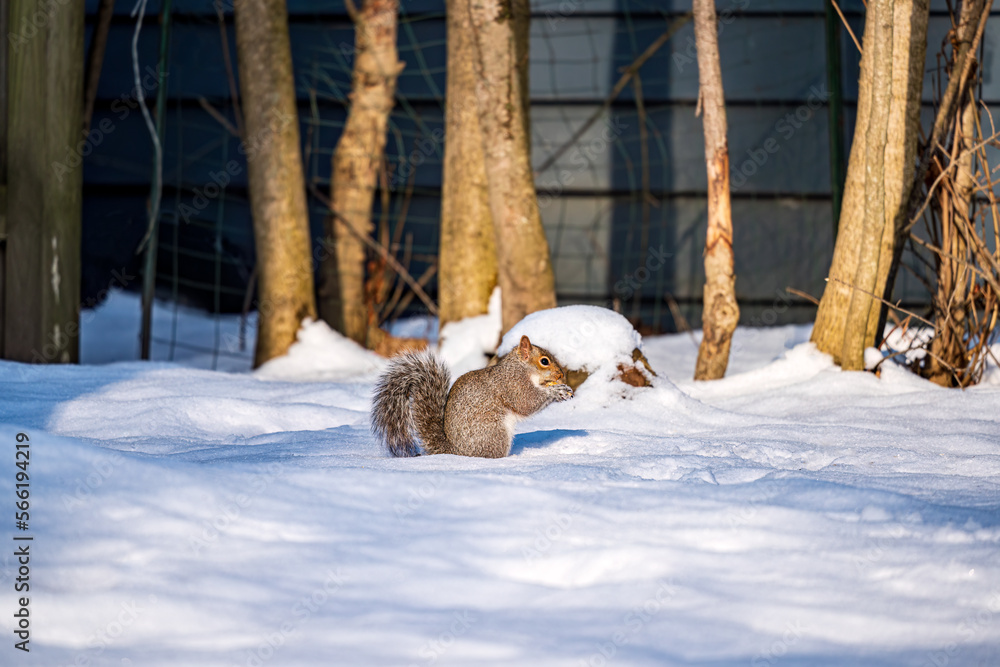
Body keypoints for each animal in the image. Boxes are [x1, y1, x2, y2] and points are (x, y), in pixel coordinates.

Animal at [370, 335, 573, 458]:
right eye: (544, 361)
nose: (561, 375)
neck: (519, 369)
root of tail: (455, 451)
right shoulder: (513, 385)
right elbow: (526, 402)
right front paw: (557, 392)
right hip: (494, 432)